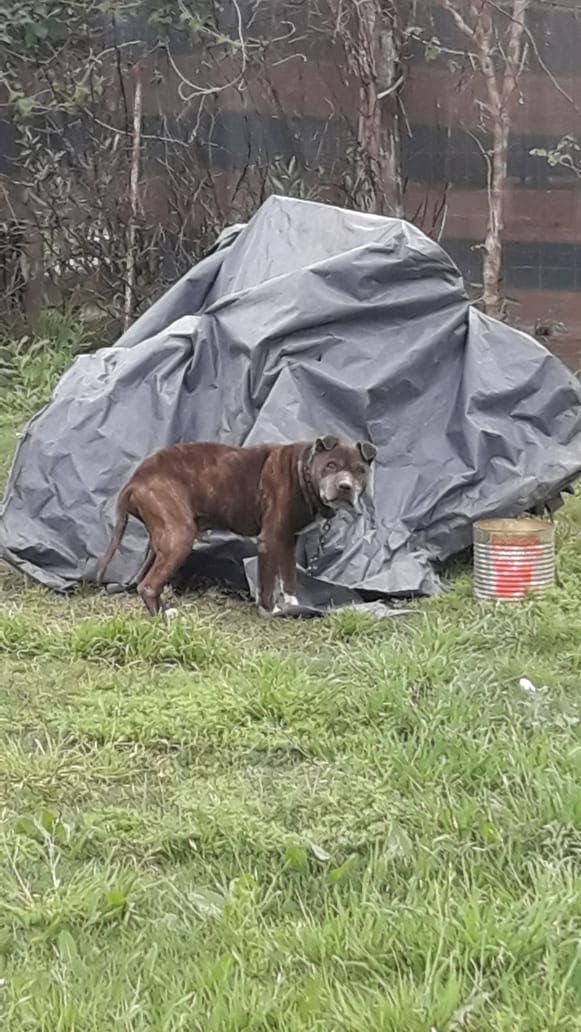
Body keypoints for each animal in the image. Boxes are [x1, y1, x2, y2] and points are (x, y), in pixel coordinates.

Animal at [97, 435, 377, 617]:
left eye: (360, 470)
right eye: (331, 465)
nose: (345, 486)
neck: (303, 471)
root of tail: (134, 480)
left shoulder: (288, 540)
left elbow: (288, 578)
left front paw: (293, 605)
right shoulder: (269, 540)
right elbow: (267, 582)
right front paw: (270, 611)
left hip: (161, 541)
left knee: (143, 580)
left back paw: (164, 612)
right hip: (179, 537)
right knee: (148, 584)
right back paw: (162, 620)